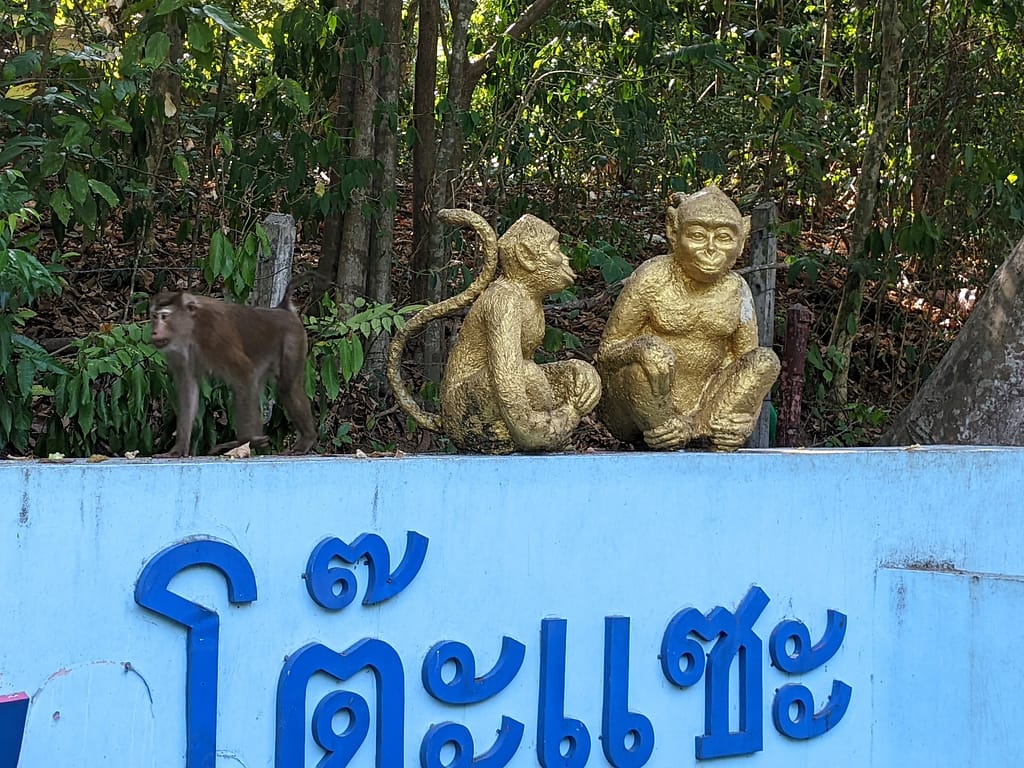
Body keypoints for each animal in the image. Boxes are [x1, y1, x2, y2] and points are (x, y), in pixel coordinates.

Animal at [149, 286, 315, 460]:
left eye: (164, 316)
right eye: (154, 316)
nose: (154, 331)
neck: (192, 328)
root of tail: (282, 309)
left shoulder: (215, 334)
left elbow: (244, 371)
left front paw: (249, 441)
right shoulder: (177, 353)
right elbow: (188, 387)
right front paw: (178, 449)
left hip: (293, 338)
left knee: (287, 387)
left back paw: (305, 439)